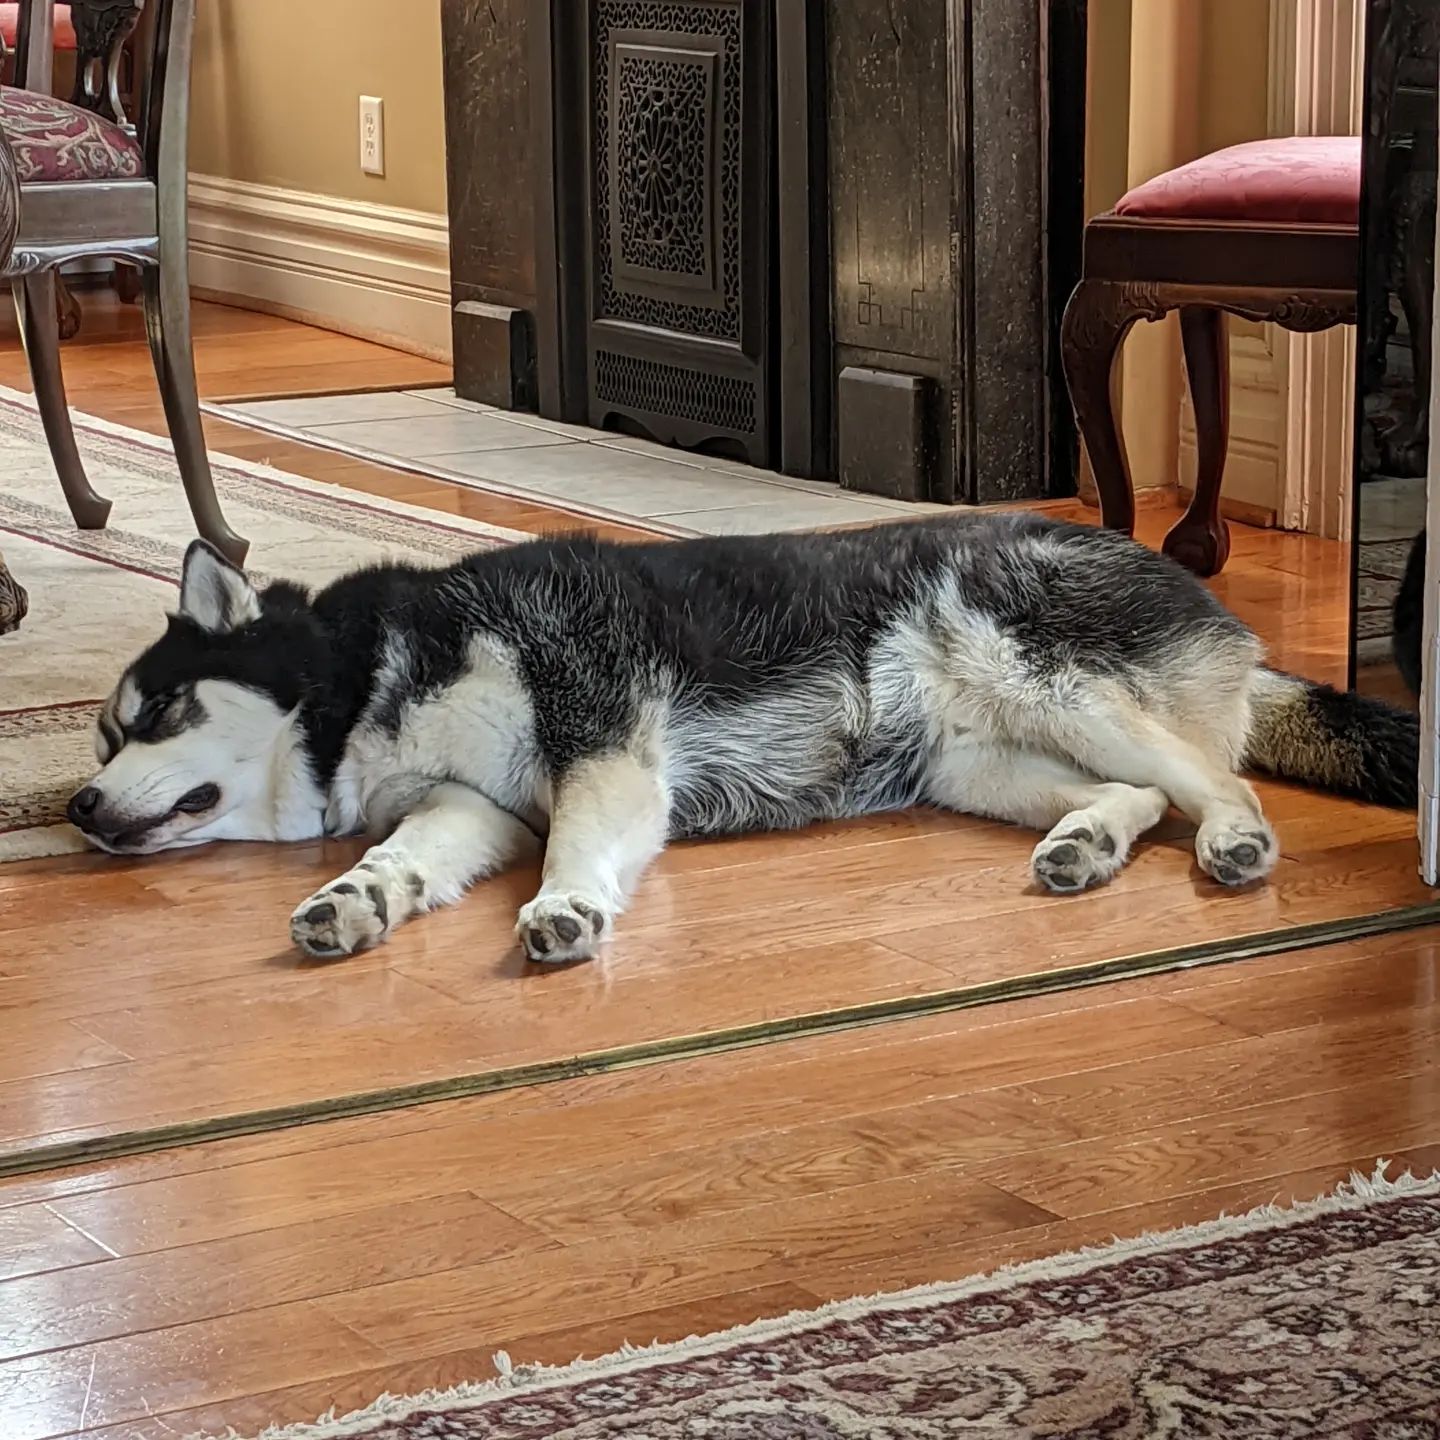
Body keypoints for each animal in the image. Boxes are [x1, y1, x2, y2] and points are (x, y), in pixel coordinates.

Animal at [73, 512, 1411, 961]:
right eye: (101, 740)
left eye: (159, 714)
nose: (80, 810)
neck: (373, 672)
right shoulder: (471, 804)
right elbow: (401, 859)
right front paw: (357, 899)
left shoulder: (604, 744)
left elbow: (578, 849)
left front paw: (567, 910)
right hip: (978, 761)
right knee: (1135, 794)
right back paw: (1089, 843)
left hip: (1038, 666)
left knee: (1211, 777)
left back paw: (1234, 841)